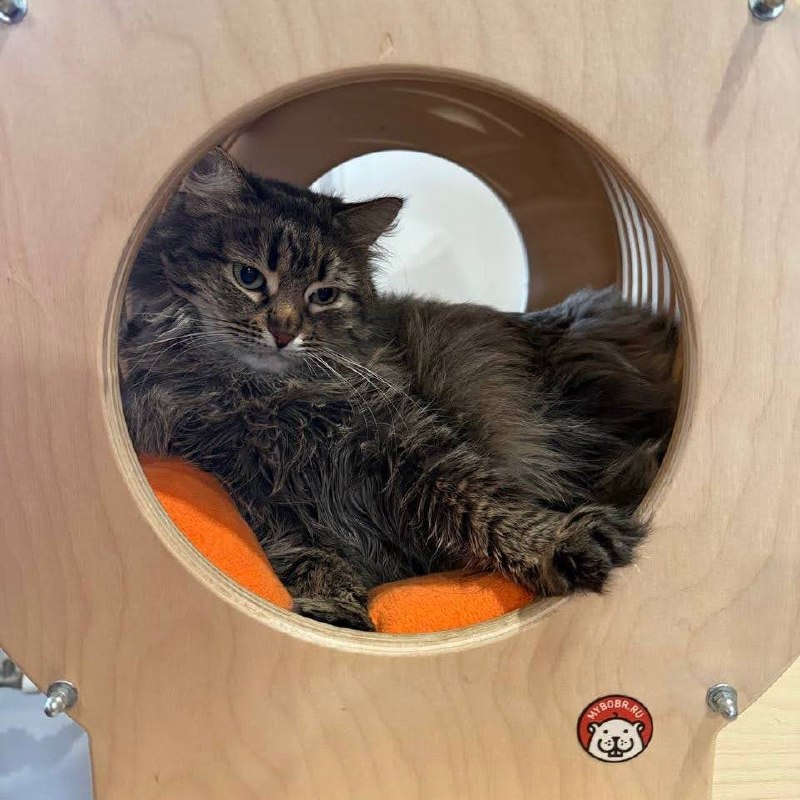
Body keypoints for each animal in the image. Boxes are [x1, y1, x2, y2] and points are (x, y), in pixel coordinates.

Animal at [119, 147, 679, 631]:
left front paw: (558, 542)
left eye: (323, 296)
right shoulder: (251, 495)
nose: (283, 331)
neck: (268, 399)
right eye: (249, 277)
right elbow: (306, 555)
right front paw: (333, 609)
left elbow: (492, 506)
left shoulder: (412, 448)